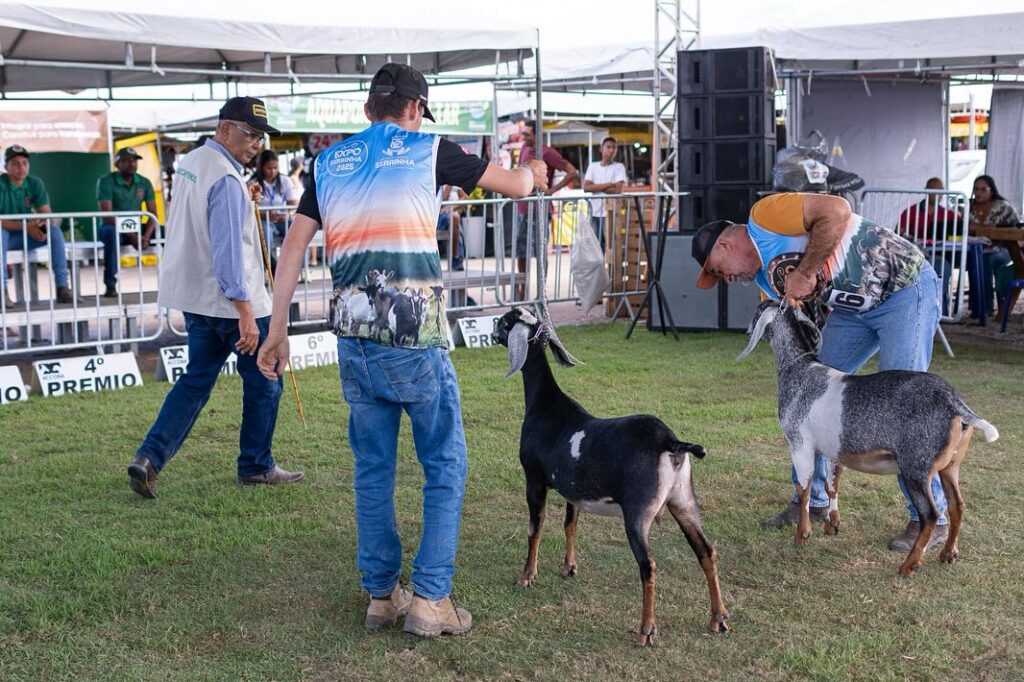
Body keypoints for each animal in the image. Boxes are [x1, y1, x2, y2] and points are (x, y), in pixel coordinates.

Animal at [491, 306, 729, 646]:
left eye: (505, 322)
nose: (491, 330)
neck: (546, 405)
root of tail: (670, 441)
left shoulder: (534, 480)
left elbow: (534, 529)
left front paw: (526, 576)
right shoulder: (573, 490)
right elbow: (570, 525)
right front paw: (569, 567)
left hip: (638, 514)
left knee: (648, 565)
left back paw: (646, 631)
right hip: (684, 501)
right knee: (706, 551)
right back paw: (718, 618)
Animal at [738, 300, 999, 575]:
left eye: (757, 310)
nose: (746, 331)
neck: (799, 368)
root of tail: (955, 403)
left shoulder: (799, 445)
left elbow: (804, 489)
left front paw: (802, 535)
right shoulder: (833, 449)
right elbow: (831, 485)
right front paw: (832, 525)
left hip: (915, 468)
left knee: (931, 513)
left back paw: (910, 564)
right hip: (950, 466)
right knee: (956, 506)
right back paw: (948, 553)